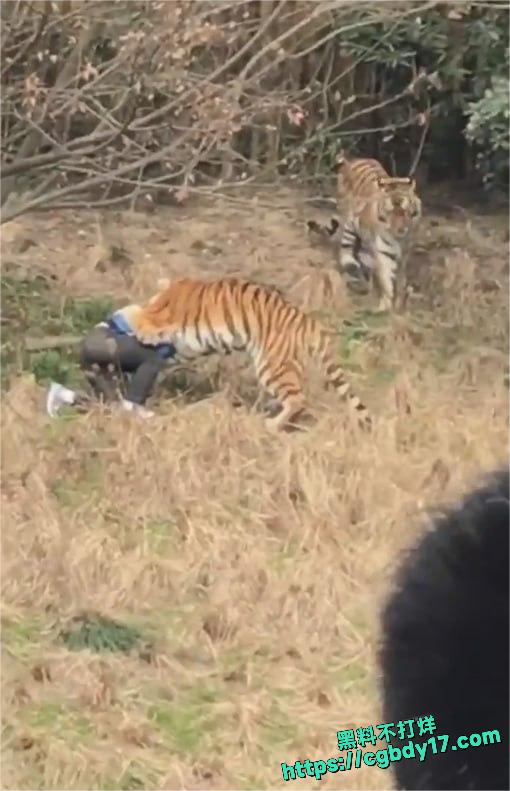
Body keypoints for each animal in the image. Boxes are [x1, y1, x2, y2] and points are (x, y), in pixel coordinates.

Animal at [309, 156, 422, 312]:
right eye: (390, 212)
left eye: (405, 211)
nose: (400, 230)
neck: (398, 240)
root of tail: (352, 160)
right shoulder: (384, 254)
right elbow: (386, 281)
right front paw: (386, 306)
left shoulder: (404, 254)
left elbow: (400, 280)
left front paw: (399, 304)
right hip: (349, 223)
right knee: (346, 247)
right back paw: (352, 267)